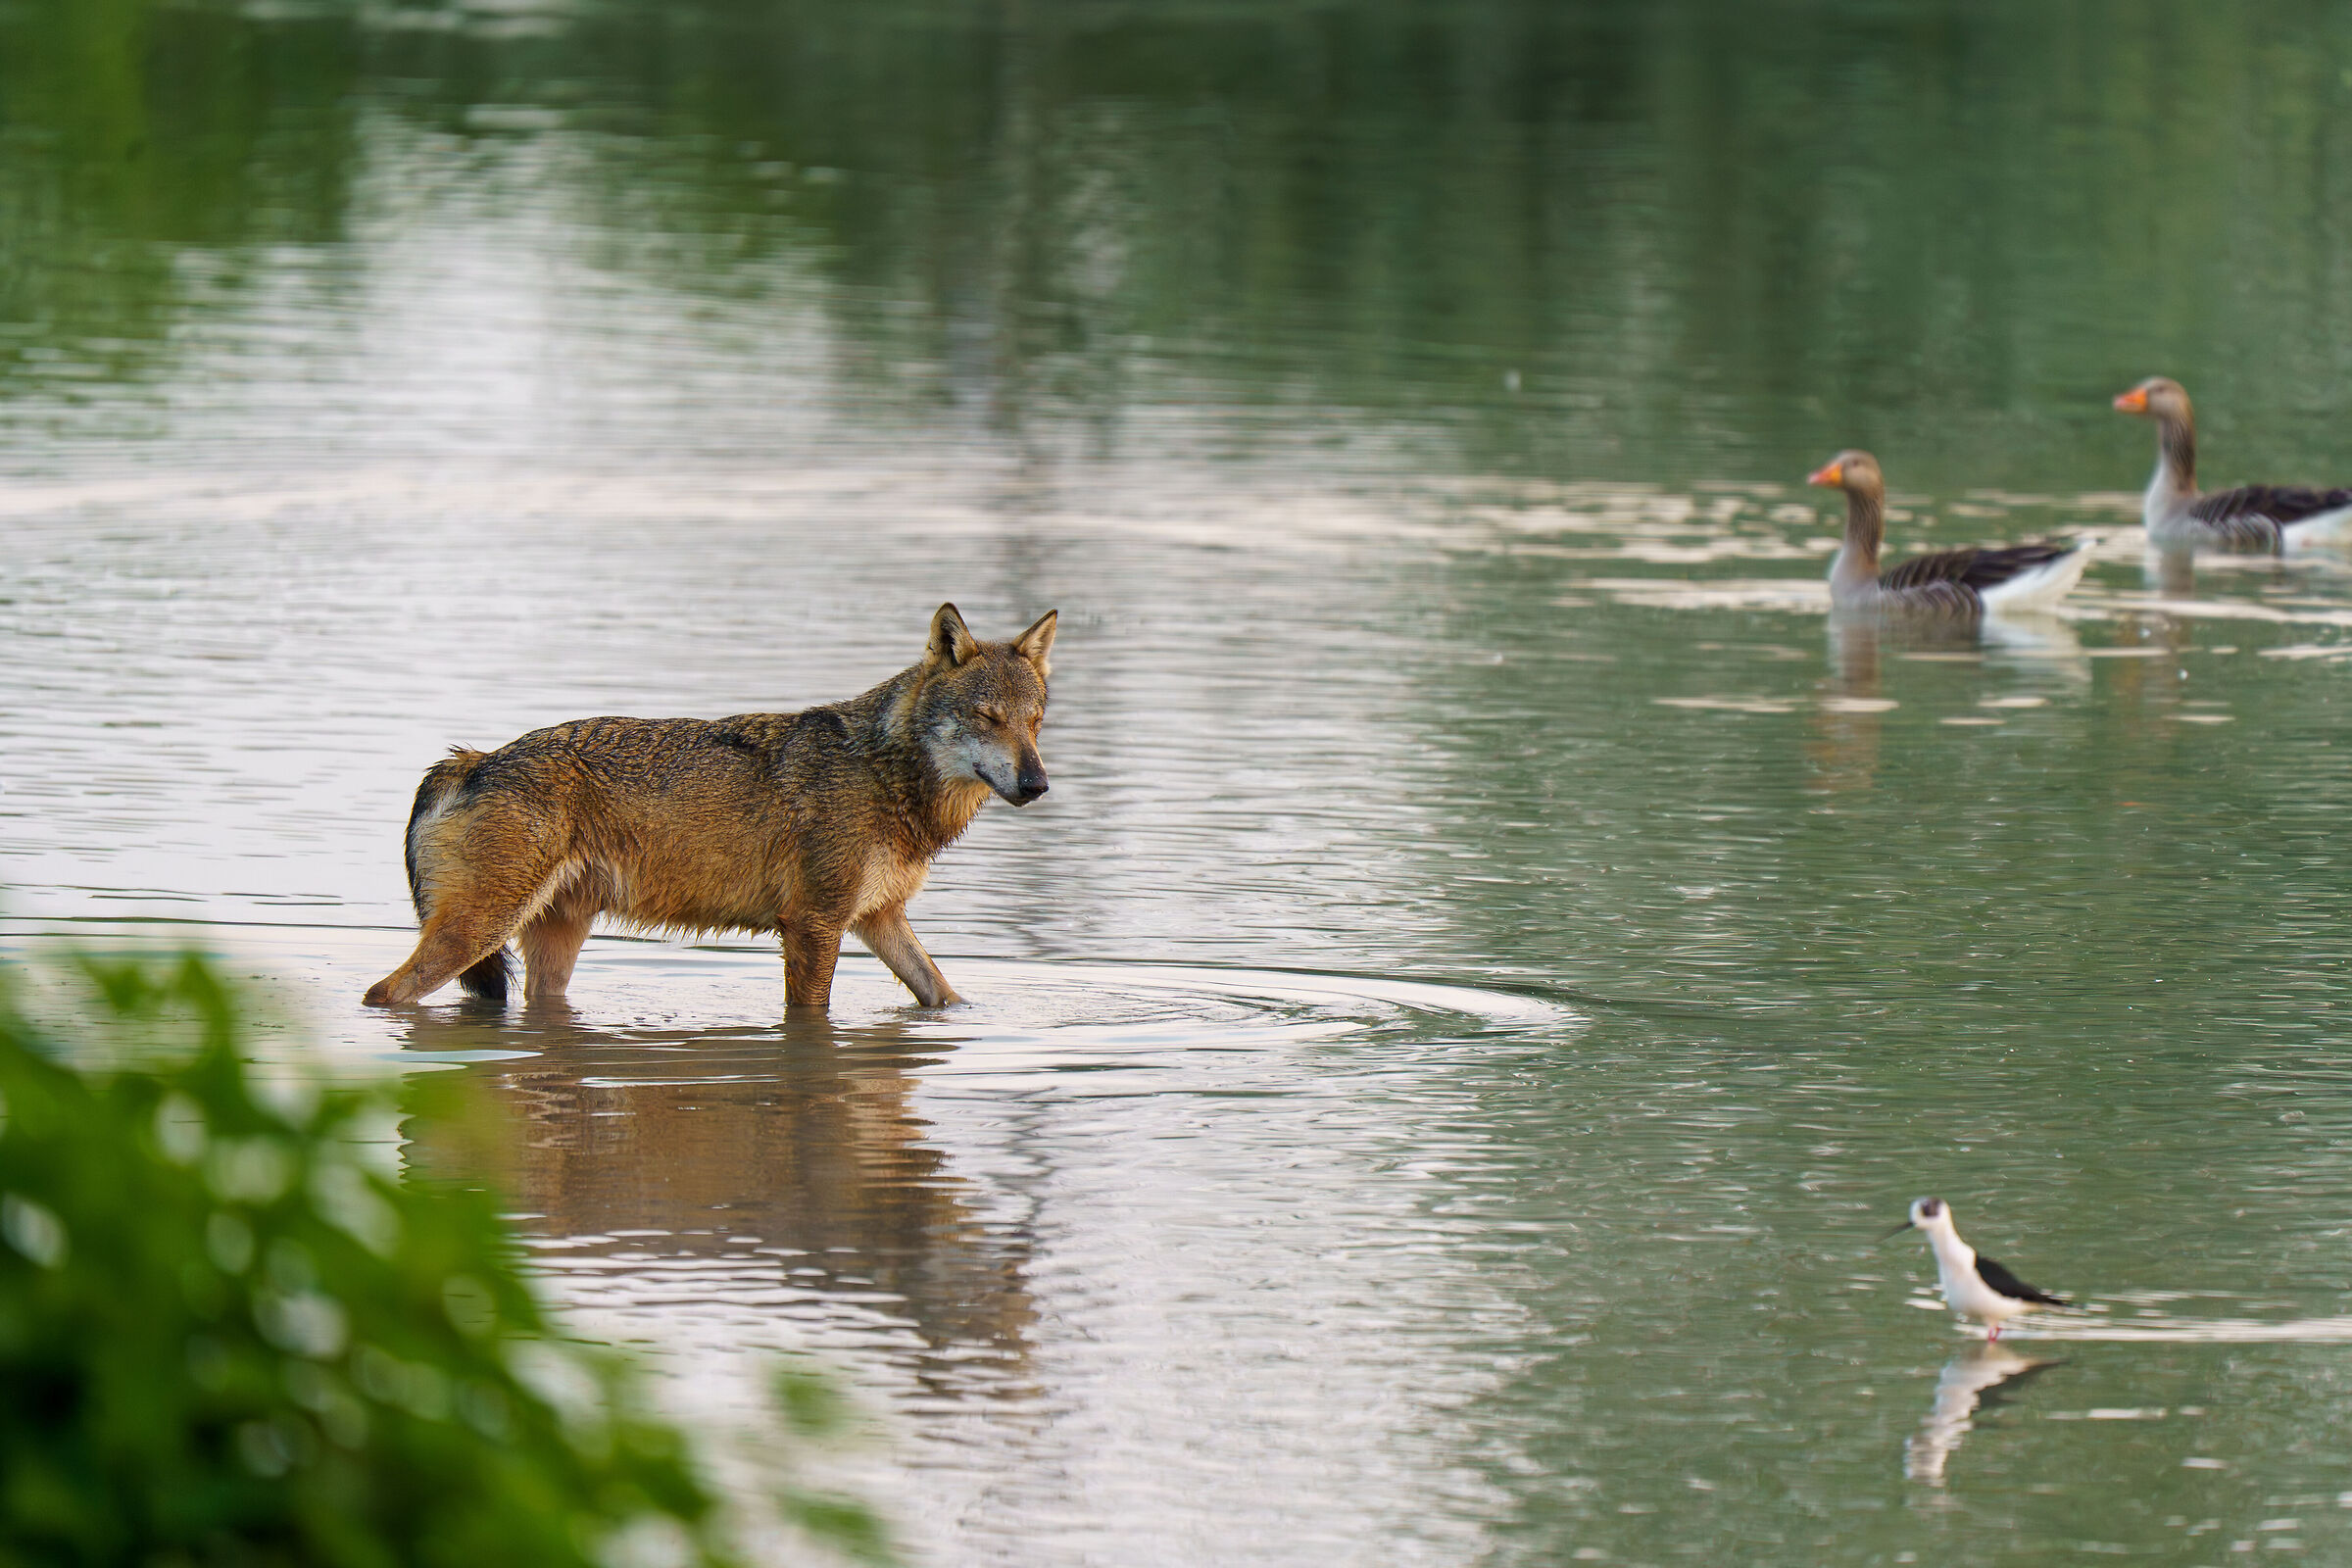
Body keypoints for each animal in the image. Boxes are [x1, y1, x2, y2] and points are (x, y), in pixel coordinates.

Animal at [362, 603, 1056, 1011]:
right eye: (987, 718)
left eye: (1034, 722)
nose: (1037, 784)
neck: (885, 773)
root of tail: (472, 759)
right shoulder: (814, 926)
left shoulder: (879, 919)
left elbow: (944, 992)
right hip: (476, 933)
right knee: (382, 992)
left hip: (550, 944)